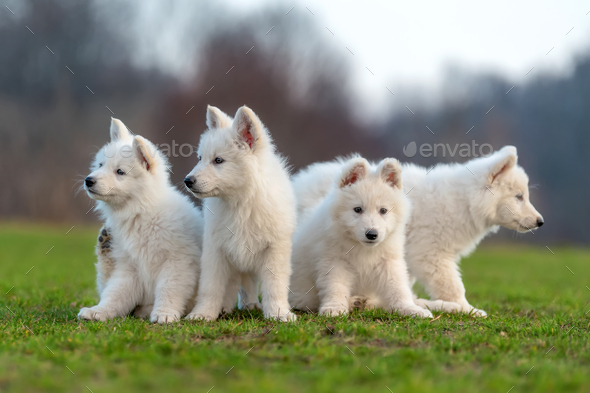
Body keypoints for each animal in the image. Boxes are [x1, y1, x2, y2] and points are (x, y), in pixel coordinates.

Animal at [78, 118, 205, 324]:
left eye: (120, 172)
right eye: (100, 165)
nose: (88, 180)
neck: (141, 212)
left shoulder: (178, 262)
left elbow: (168, 290)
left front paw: (164, 313)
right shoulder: (129, 267)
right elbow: (115, 293)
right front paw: (100, 311)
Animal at [184, 105, 296, 322]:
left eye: (218, 160)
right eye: (200, 158)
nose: (188, 181)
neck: (241, 203)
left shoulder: (274, 249)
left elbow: (274, 286)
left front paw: (278, 313)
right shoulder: (216, 249)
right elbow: (210, 286)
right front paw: (203, 313)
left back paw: (251, 305)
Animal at [292, 155, 434, 316]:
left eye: (383, 210)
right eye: (358, 209)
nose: (372, 234)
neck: (363, 248)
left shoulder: (388, 261)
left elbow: (398, 288)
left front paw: (410, 309)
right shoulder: (334, 262)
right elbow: (336, 287)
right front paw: (334, 308)